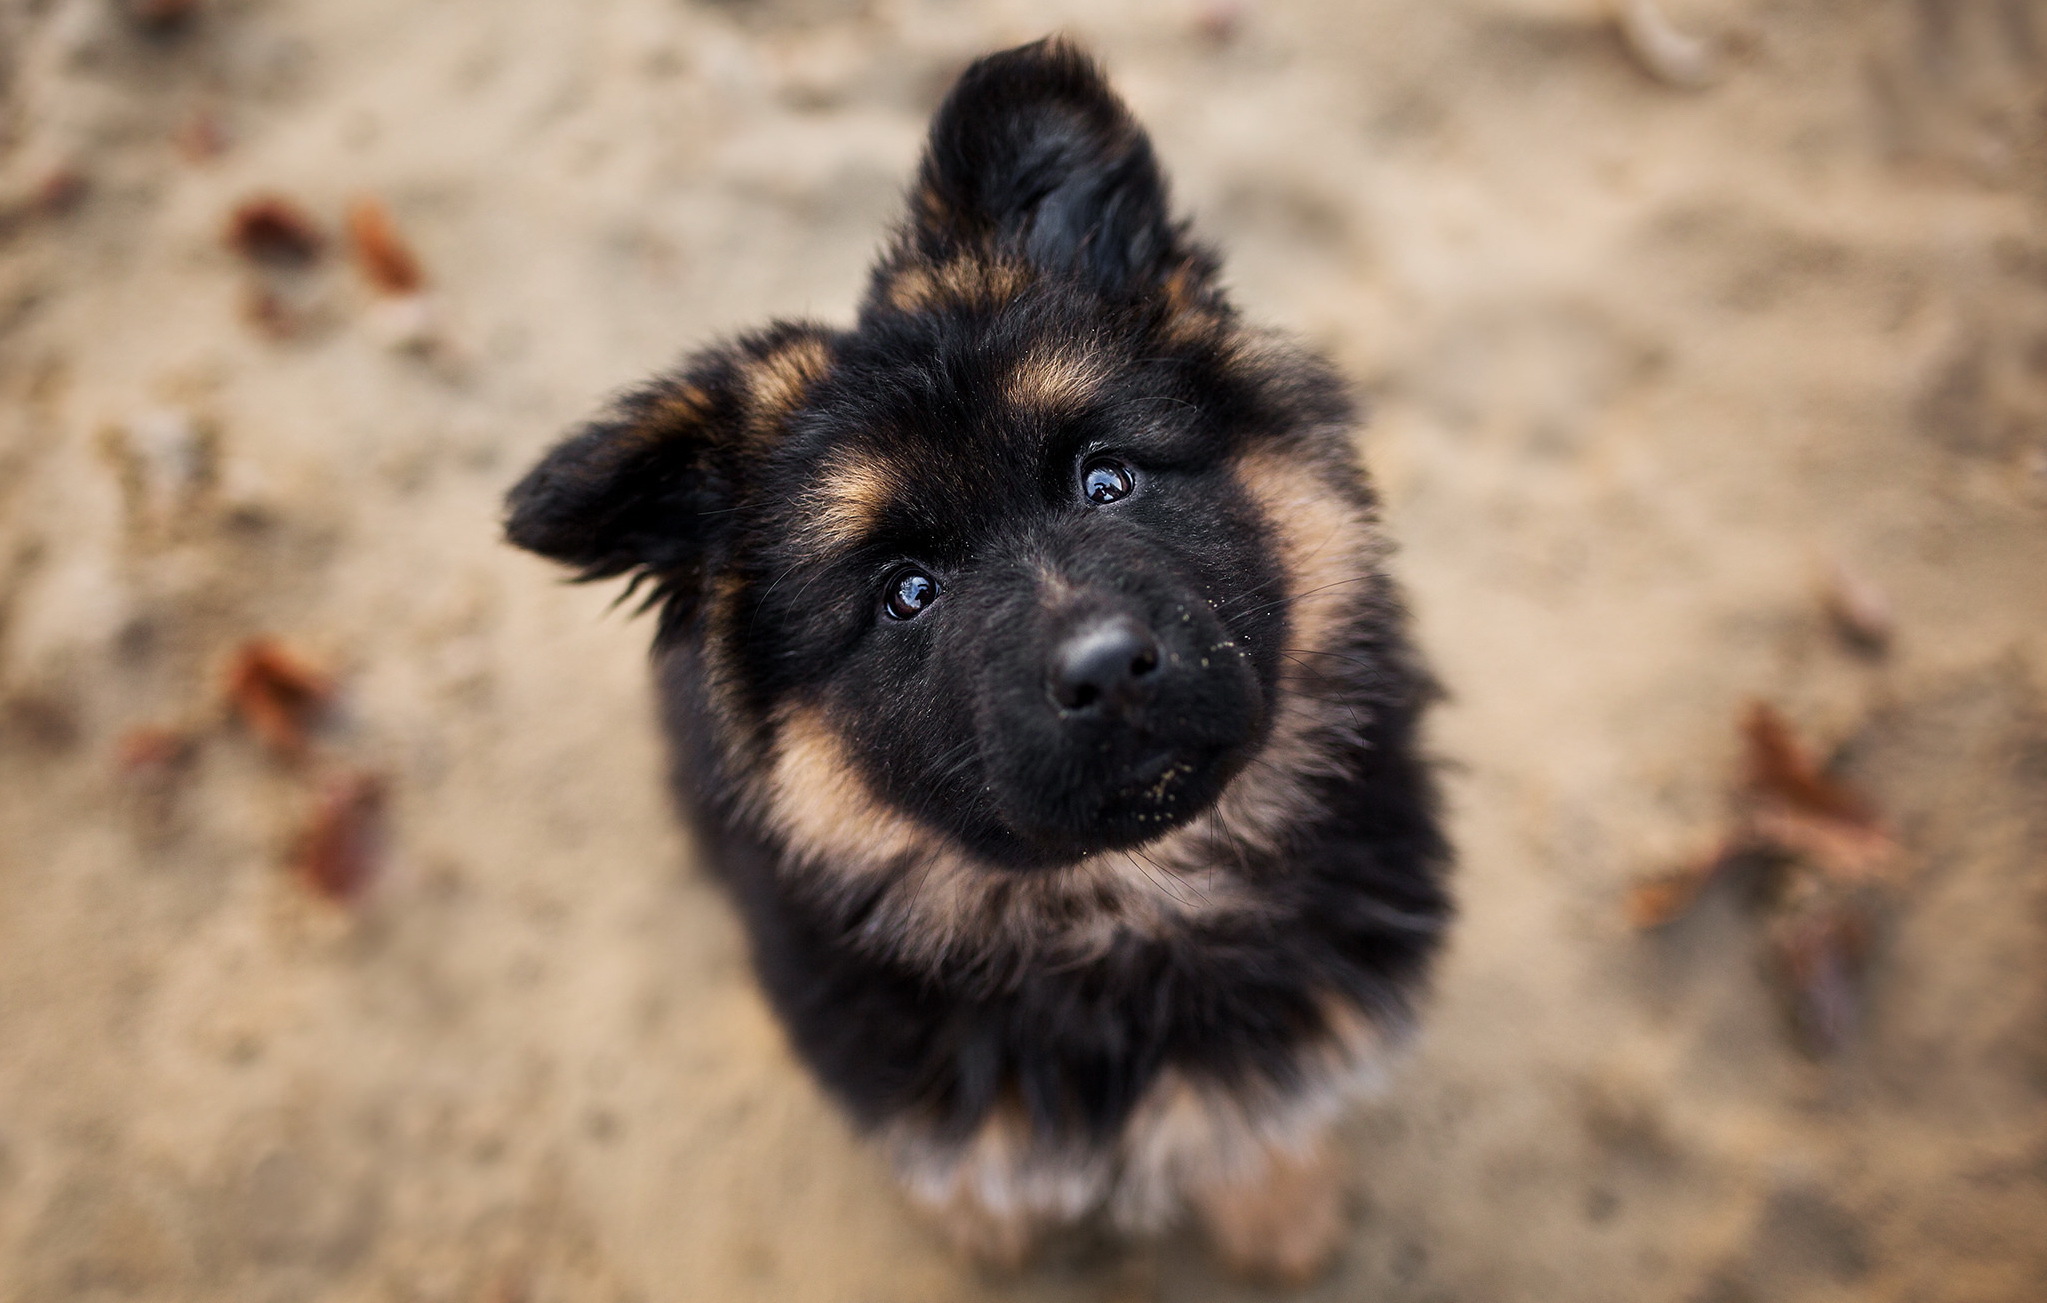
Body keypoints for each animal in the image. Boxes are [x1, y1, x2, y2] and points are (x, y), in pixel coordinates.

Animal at [503, 38, 1449, 1284]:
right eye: (905, 593)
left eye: (1107, 479)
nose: (1106, 667)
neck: (1128, 903)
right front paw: (983, 1223)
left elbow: (1265, 1113)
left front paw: (1280, 1209)